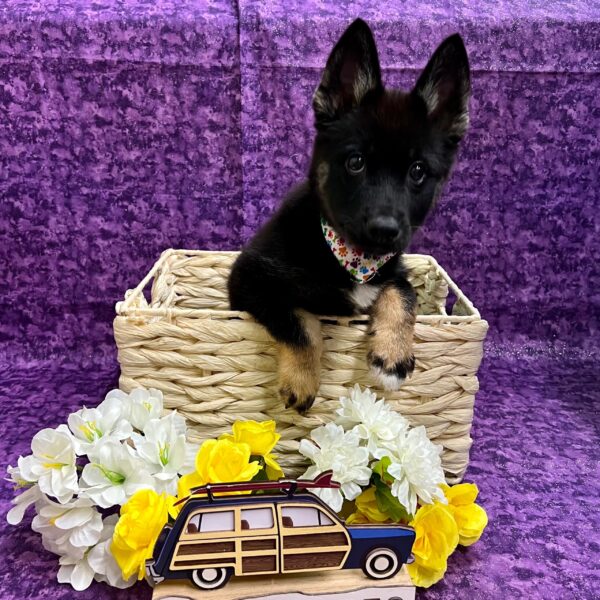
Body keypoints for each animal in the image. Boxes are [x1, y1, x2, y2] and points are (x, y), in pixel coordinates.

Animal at [227, 17, 472, 412]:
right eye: (356, 162)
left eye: (418, 171)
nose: (385, 230)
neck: (350, 256)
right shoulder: (250, 279)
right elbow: (299, 321)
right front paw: (302, 379)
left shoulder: (394, 268)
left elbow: (403, 292)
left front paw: (393, 355)